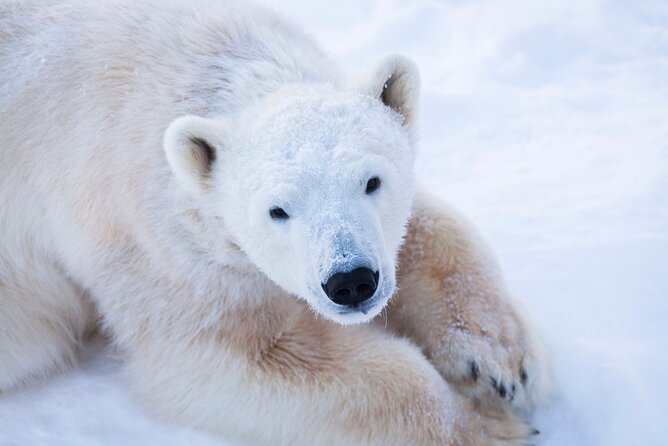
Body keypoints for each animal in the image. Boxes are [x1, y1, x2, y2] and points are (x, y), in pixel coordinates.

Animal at [0, 1, 549, 445]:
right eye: (278, 210)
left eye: (371, 181)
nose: (351, 281)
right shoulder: (148, 240)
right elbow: (243, 358)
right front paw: (486, 425)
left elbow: (428, 230)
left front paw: (498, 361)